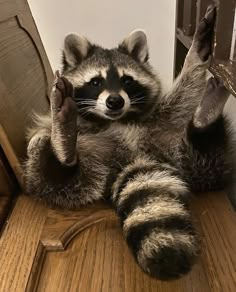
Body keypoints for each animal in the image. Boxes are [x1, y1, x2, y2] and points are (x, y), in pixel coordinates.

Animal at [23, 6, 232, 280]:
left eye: (127, 81)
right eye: (96, 82)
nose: (115, 101)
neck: (115, 121)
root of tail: (130, 158)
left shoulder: (156, 119)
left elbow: (181, 99)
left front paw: (194, 59)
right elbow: (40, 133)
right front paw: (45, 134)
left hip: (176, 148)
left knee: (209, 160)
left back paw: (205, 118)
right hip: (78, 172)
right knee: (53, 180)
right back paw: (61, 149)